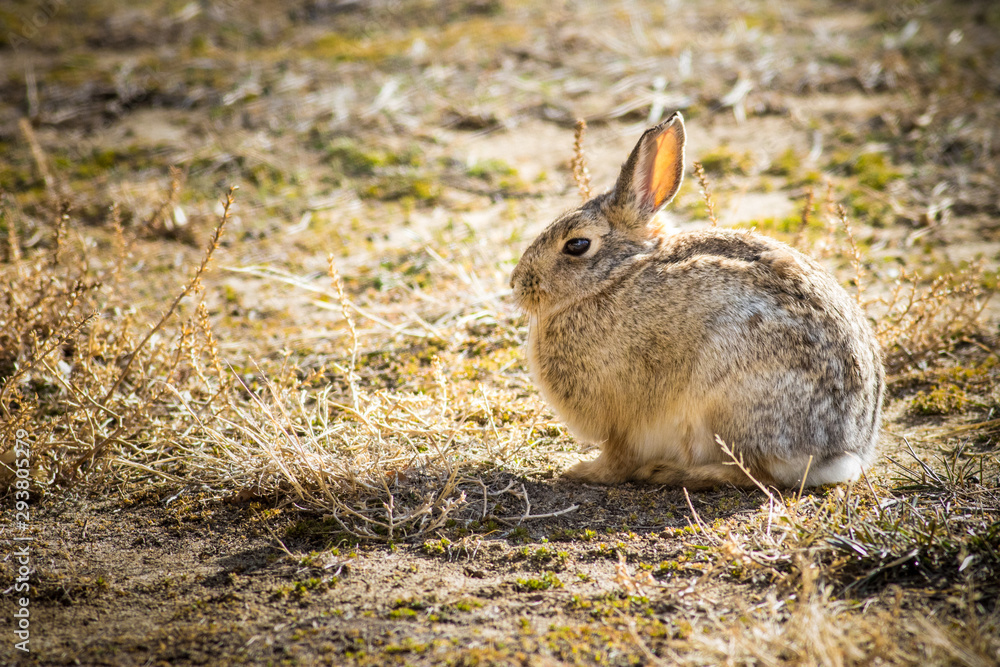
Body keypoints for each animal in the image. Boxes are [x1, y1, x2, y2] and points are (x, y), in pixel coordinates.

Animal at [509, 112, 884, 489]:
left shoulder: (623, 419)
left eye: (577, 245)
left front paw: (581, 471)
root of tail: (839, 453)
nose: (517, 284)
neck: (614, 277)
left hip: (727, 405)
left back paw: (676, 472)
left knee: (755, 473)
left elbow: (617, 458)